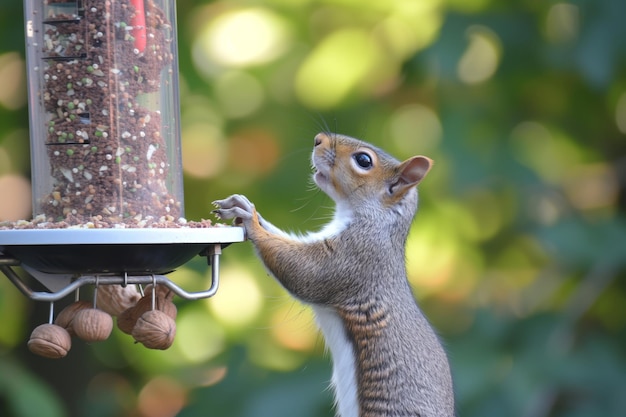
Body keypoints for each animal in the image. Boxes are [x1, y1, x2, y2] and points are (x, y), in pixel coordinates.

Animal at [213, 132, 454, 416]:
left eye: (363, 160)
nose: (318, 139)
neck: (379, 219)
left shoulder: (356, 256)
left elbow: (306, 272)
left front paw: (250, 220)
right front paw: (246, 208)